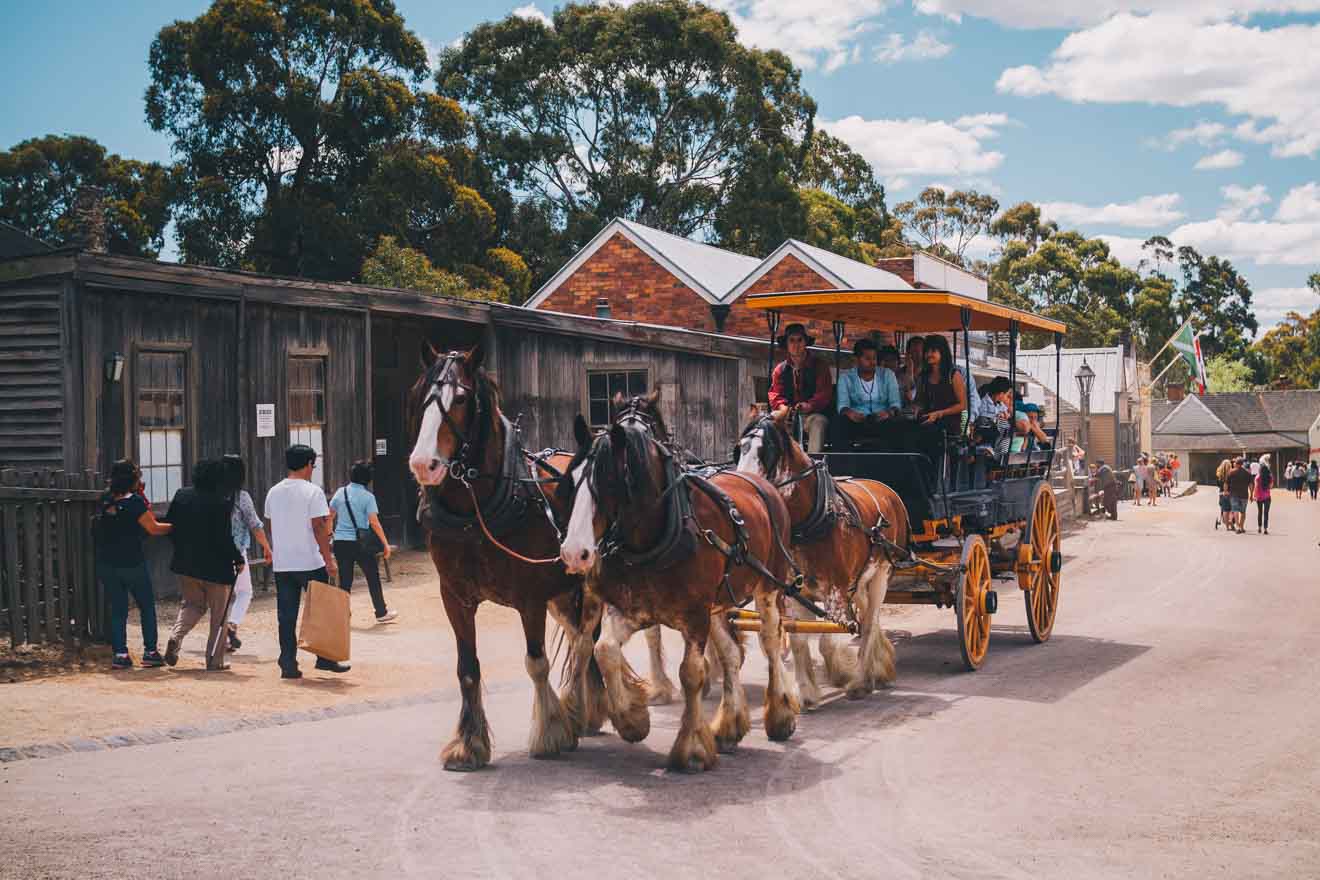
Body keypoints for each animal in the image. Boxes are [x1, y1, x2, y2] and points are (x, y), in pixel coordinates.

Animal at [406, 343, 604, 770]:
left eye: (461, 399)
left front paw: (549, 733)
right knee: (579, 638)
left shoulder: (529, 597)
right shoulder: (455, 597)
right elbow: (467, 669)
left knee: (586, 642)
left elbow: (537, 663)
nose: (423, 464)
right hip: (561, 593)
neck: (475, 516)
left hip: (588, 586)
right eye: (420, 396)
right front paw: (468, 744)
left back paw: (580, 710)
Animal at [554, 393, 792, 770]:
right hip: (719, 603)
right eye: (569, 482)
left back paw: (780, 714)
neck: (658, 533)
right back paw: (729, 725)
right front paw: (632, 719)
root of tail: (760, 484)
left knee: (769, 642)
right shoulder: (632, 610)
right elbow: (604, 650)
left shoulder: (694, 617)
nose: (574, 553)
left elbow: (691, 674)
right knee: (730, 654)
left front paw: (691, 748)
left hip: (769, 588)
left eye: (608, 483)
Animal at [733, 408, 908, 707]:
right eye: (740, 448)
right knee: (867, 620)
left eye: (766, 450)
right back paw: (879, 666)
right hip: (860, 581)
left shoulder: (835, 590)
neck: (810, 522)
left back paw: (863, 679)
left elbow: (829, 639)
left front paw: (842, 676)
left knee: (869, 623)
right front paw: (807, 692)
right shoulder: (793, 592)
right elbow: (799, 640)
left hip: (881, 576)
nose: (740, 495)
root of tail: (887, 490)